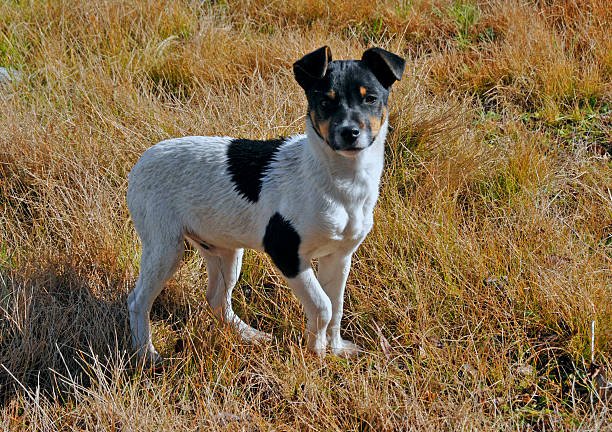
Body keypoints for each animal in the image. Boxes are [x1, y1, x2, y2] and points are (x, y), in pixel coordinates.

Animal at [126, 45, 404, 362]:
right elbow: (322, 306)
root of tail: (144, 157)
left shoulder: (340, 255)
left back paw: (249, 335)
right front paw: (317, 352)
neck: (342, 180)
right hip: (166, 248)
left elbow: (336, 308)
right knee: (137, 300)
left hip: (225, 250)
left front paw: (335, 349)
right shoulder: (287, 254)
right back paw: (146, 353)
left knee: (217, 299)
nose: (349, 133)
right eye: (325, 102)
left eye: (371, 99)